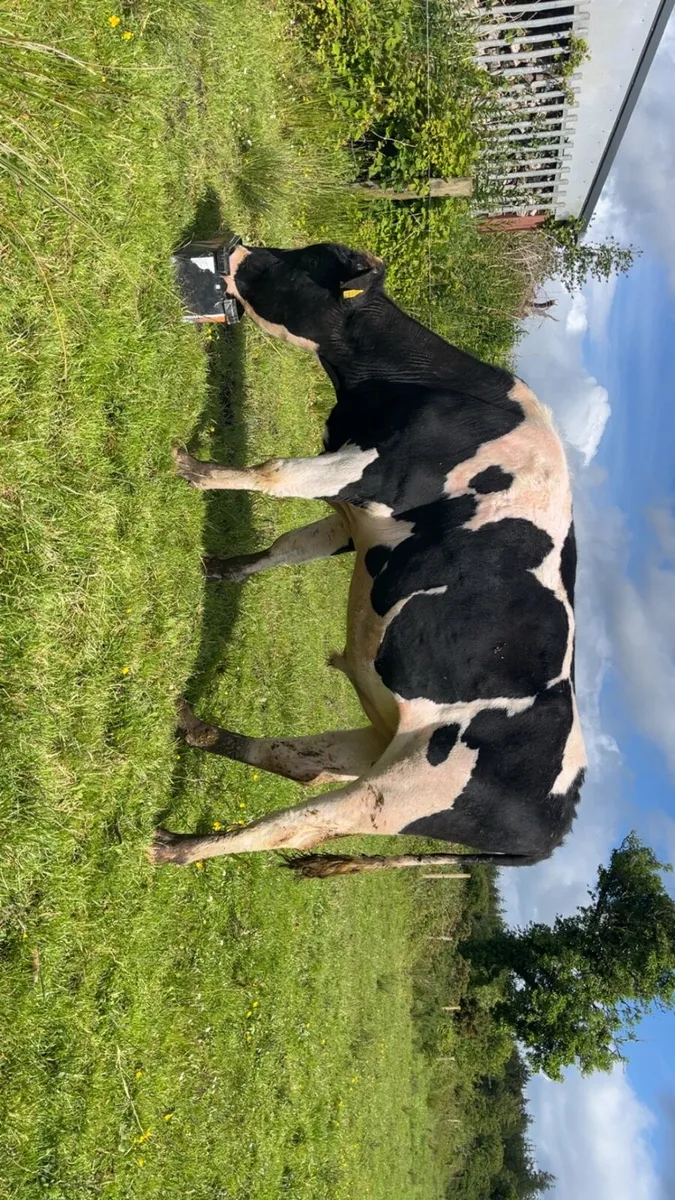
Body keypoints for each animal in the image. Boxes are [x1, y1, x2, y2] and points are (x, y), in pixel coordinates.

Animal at [150, 241, 586, 878]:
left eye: (304, 264)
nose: (237, 248)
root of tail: (560, 823)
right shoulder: (358, 516)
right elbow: (287, 548)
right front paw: (217, 569)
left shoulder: (370, 471)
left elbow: (274, 472)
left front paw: (191, 468)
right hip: (383, 742)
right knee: (300, 762)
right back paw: (193, 728)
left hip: (397, 794)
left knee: (302, 823)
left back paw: (179, 846)